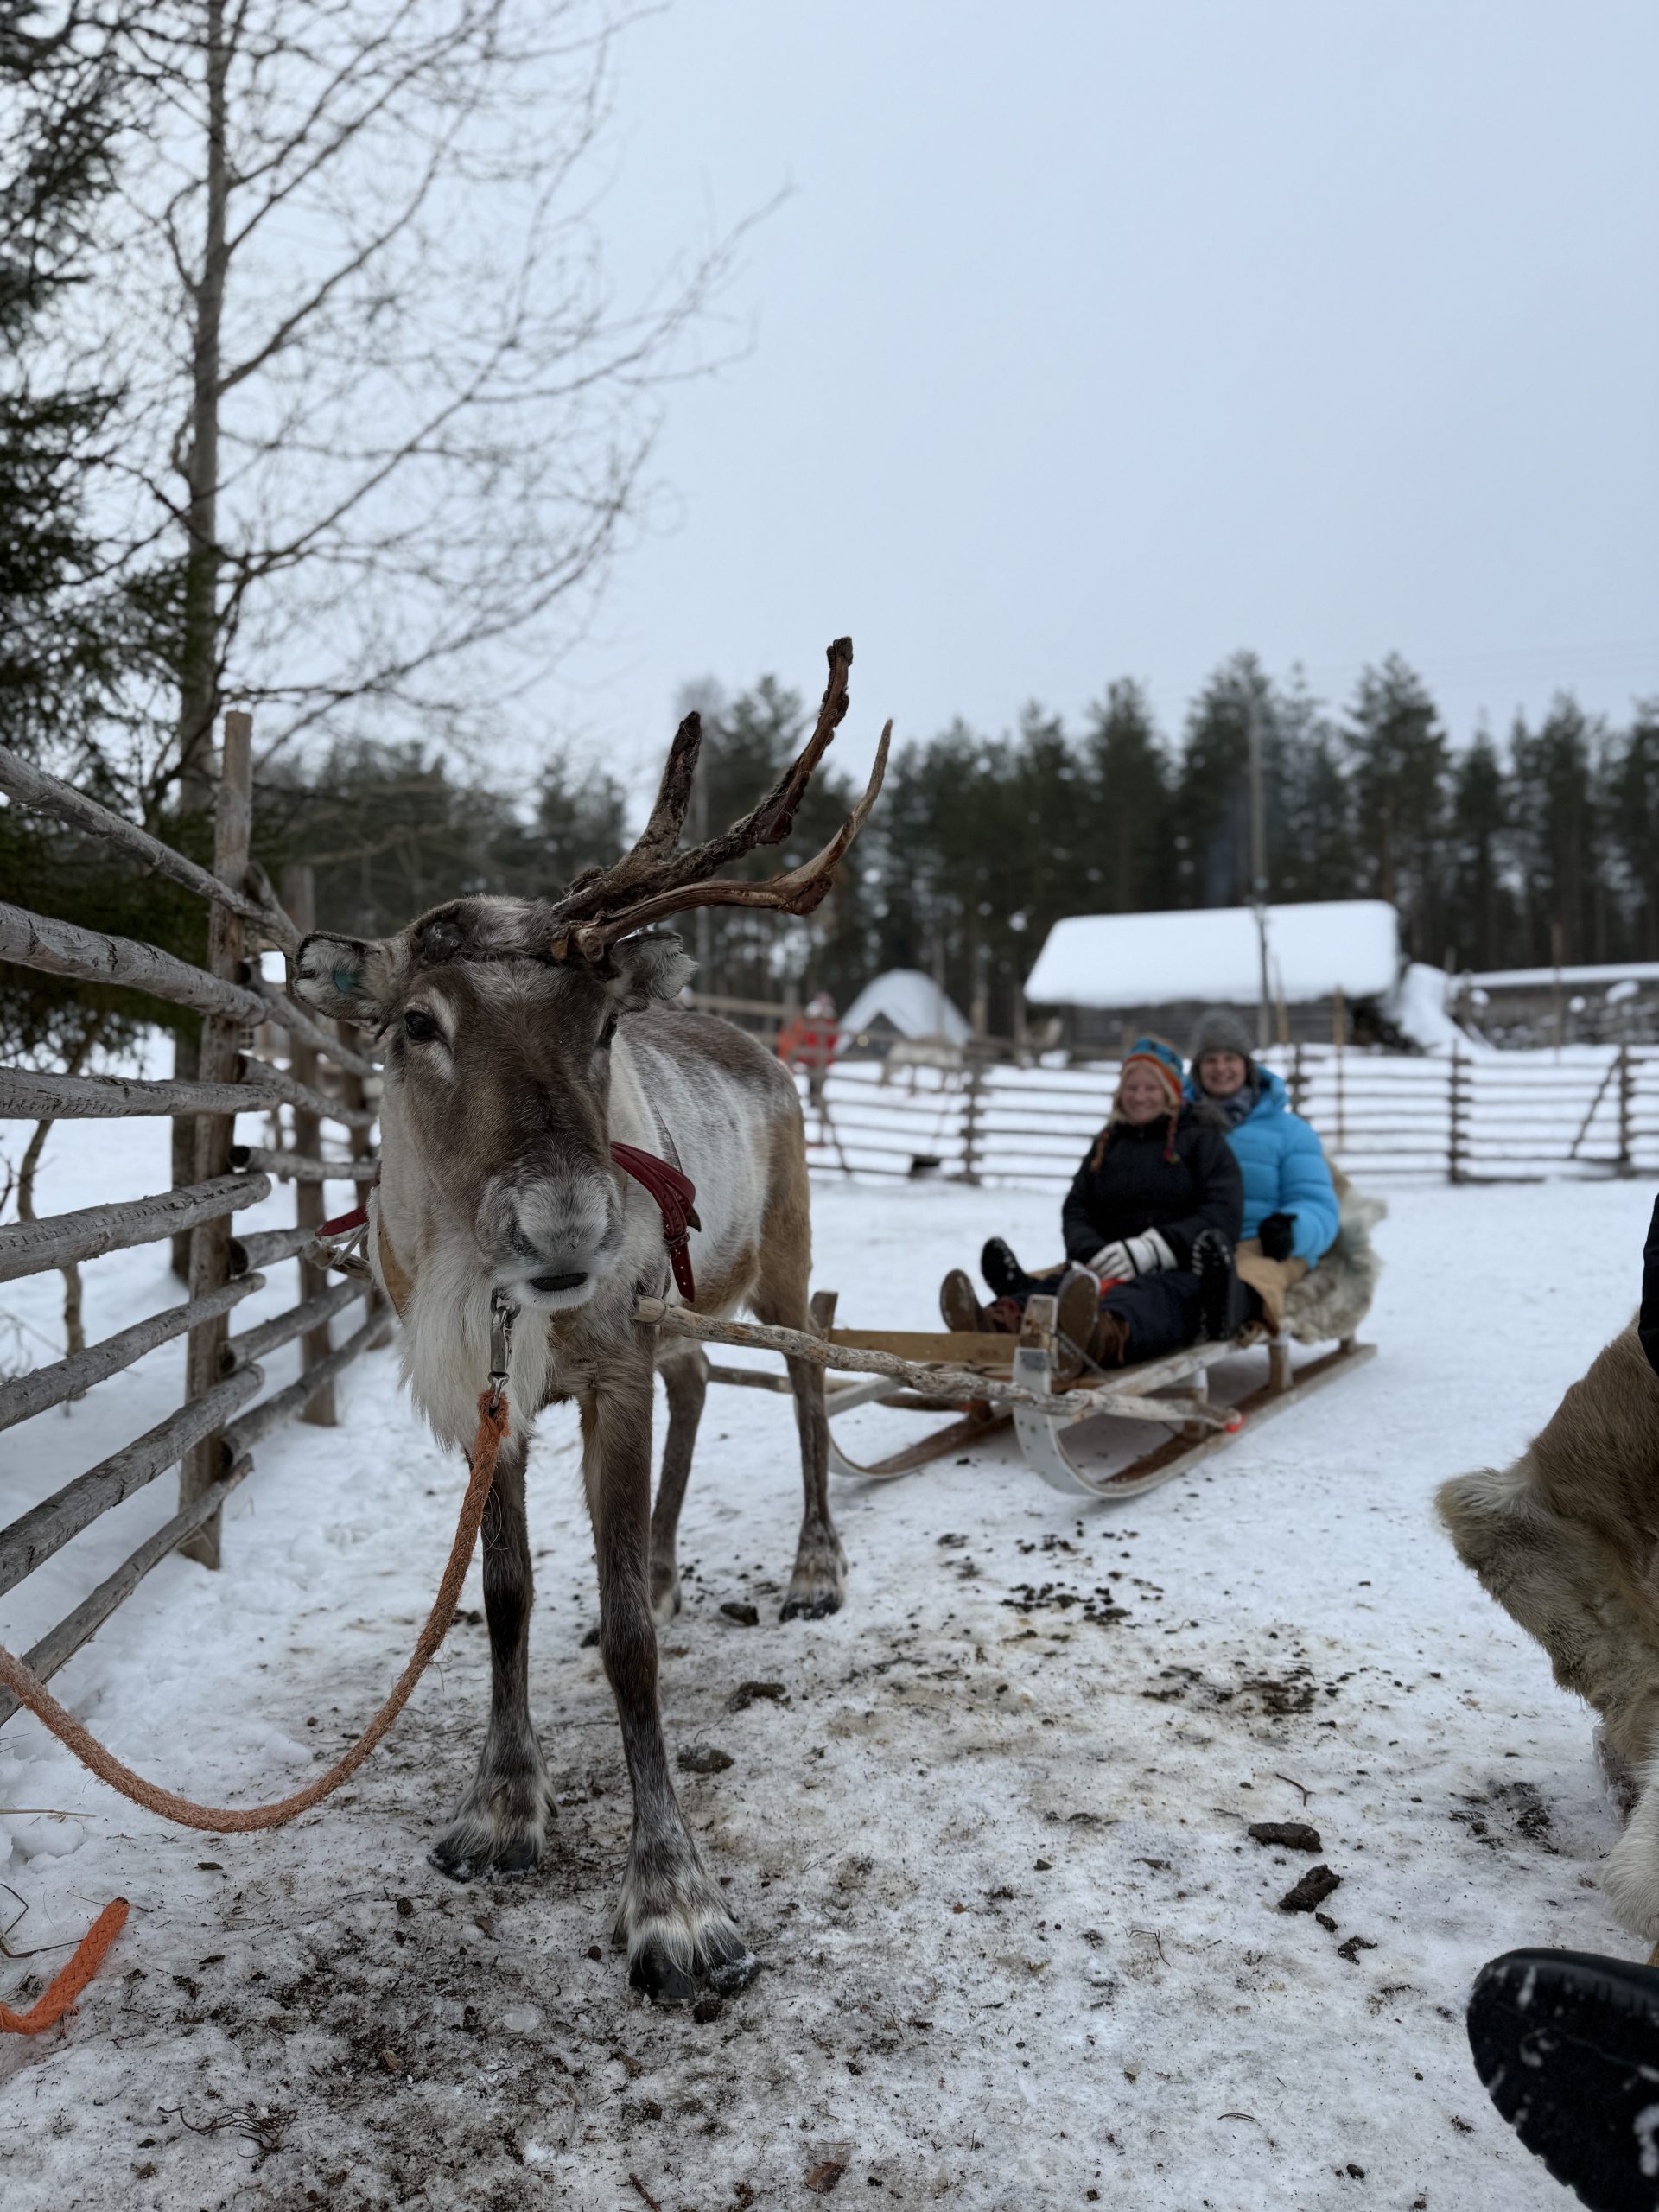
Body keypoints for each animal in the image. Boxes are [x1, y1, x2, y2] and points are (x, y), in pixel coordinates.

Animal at [289, 639, 888, 2003]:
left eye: (604, 1024)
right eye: (417, 1022)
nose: (568, 1230)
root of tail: (759, 1045)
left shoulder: (606, 1370)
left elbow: (626, 1646)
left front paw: (674, 1902)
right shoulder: (492, 1401)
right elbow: (505, 1592)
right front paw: (502, 1807)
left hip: (781, 1255)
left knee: (807, 1375)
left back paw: (812, 1568)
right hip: (680, 1300)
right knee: (704, 1384)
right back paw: (666, 1560)